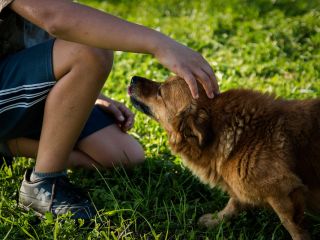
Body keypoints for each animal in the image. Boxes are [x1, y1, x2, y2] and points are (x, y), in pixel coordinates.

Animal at [128, 76, 320, 239]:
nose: (133, 78)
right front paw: (217, 220)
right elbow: (234, 203)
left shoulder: (283, 191)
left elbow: (292, 226)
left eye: (160, 91)